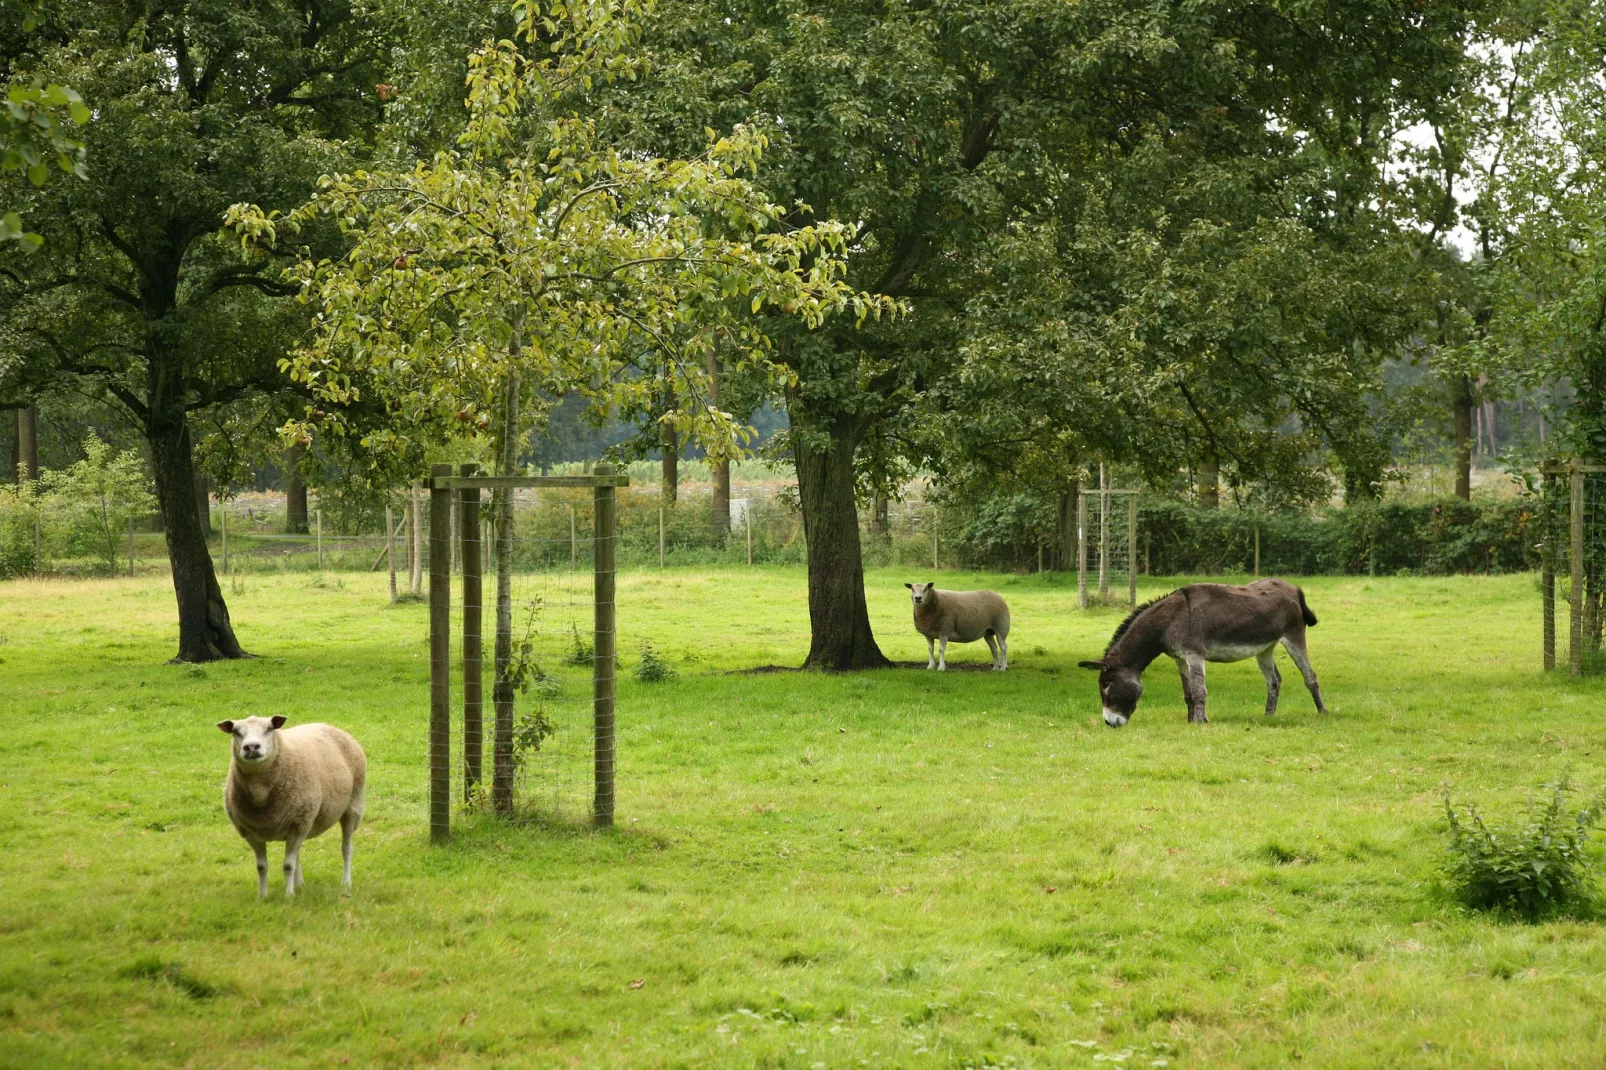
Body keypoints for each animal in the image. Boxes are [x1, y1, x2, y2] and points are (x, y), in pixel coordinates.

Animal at [216, 713, 367, 893]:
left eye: (269, 728)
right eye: (236, 731)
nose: (251, 747)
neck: (260, 791)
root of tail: (328, 725)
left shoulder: (298, 825)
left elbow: (288, 866)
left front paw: (288, 895)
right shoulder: (252, 833)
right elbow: (262, 867)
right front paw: (263, 896)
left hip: (352, 807)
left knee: (346, 848)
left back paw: (346, 882)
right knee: (297, 854)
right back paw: (300, 884)